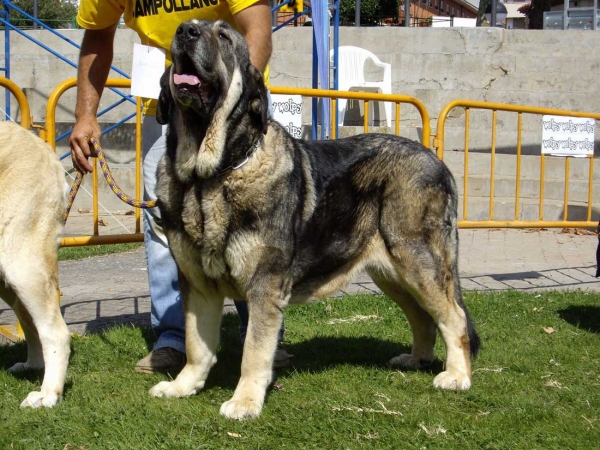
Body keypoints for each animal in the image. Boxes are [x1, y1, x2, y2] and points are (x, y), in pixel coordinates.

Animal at [152, 19, 480, 420]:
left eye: (224, 36)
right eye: (185, 28)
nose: (186, 31)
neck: (210, 176)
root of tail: (436, 159)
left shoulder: (264, 287)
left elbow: (253, 352)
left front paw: (244, 401)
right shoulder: (198, 285)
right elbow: (197, 345)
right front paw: (183, 386)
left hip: (418, 260)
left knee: (453, 317)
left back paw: (457, 376)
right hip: (393, 273)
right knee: (422, 317)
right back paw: (416, 359)